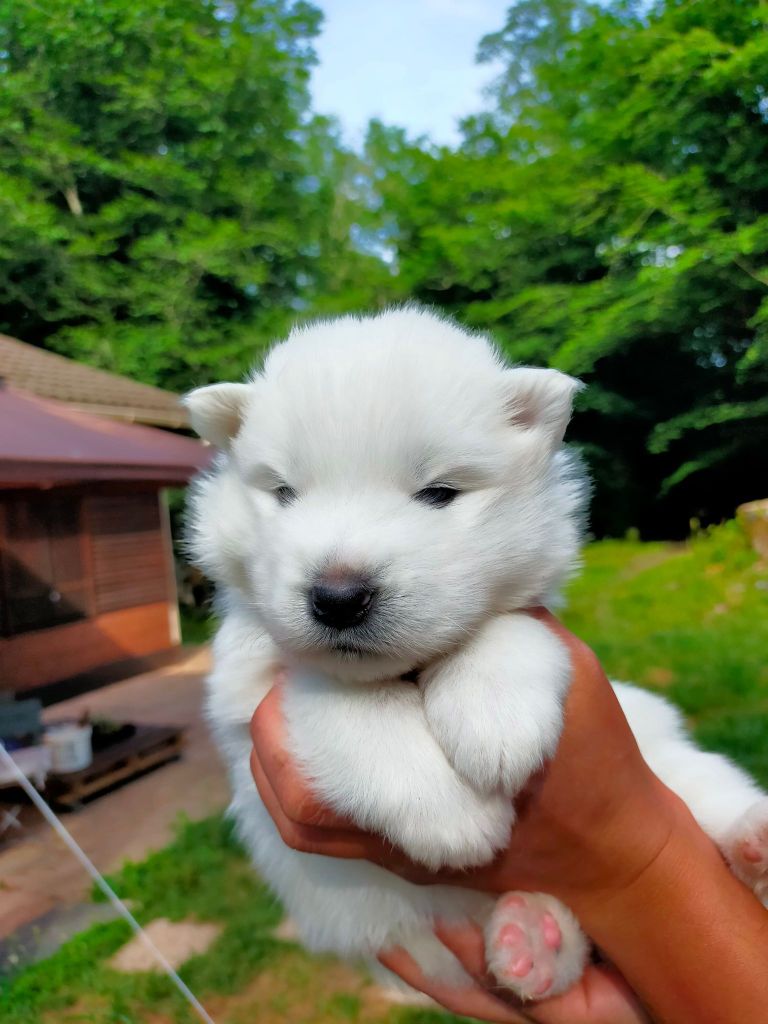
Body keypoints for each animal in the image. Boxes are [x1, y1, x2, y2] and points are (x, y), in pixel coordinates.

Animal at [185, 307, 768, 1001]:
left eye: (438, 492)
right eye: (283, 492)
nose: (338, 597)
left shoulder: (529, 612)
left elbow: (499, 629)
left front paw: (496, 725)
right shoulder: (247, 690)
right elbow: (348, 701)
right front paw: (452, 813)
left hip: (661, 752)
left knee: (707, 793)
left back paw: (753, 839)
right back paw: (533, 939)